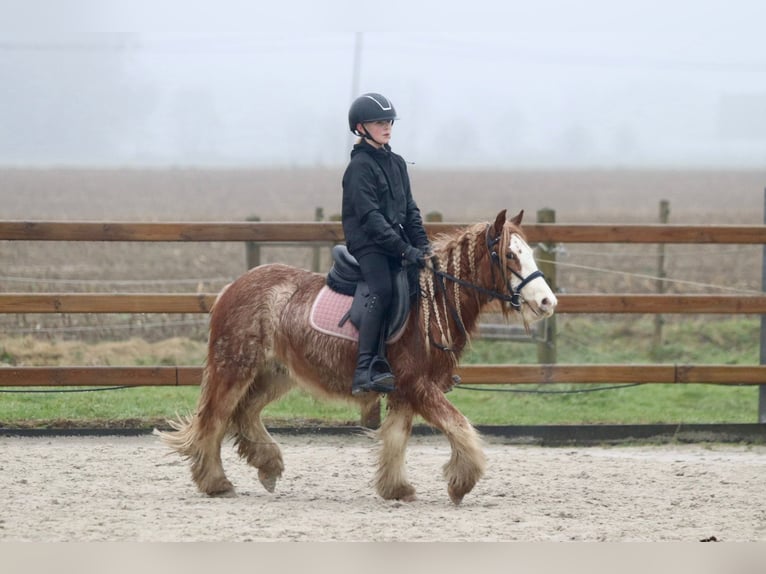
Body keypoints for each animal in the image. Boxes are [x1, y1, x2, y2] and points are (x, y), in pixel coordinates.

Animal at [159, 209, 560, 506]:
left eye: (529, 253)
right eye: (509, 255)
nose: (547, 302)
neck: (430, 302)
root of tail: (233, 287)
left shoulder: (404, 389)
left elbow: (397, 437)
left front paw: (396, 489)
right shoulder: (419, 385)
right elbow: (459, 426)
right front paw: (461, 482)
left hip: (275, 374)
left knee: (244, 413)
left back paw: (268, 465)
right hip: (235, 367)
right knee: (215, 418)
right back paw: (215, 482)